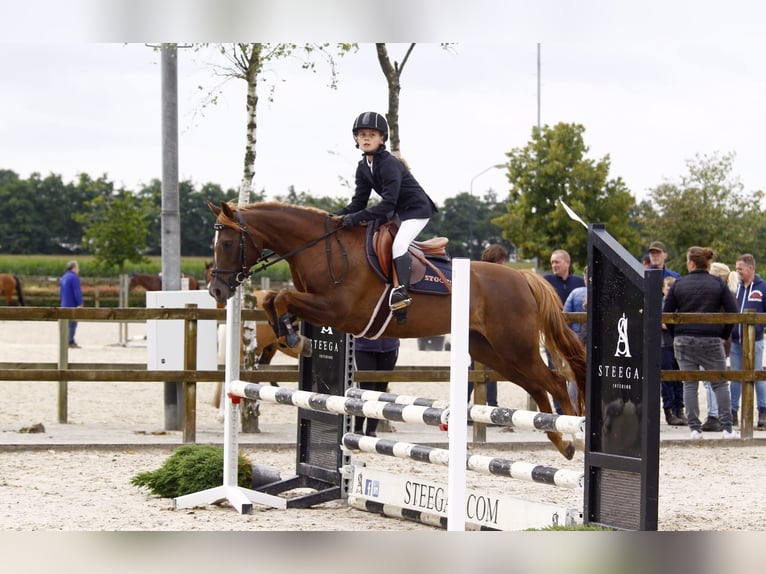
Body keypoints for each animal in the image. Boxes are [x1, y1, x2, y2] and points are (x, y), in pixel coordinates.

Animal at [206, 200, 588, 462]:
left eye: (227, 244)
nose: (217, 291)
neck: (321, 248)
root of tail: (523, 277)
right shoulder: (319, 305)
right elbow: (275, 299)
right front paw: (292, 334)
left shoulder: (337, 309)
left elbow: (282, 296)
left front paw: (295, 336)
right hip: (493, 352)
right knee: (538, 386)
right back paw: (562, 443)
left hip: (514, 346)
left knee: (555, 382)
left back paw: (576, 437)